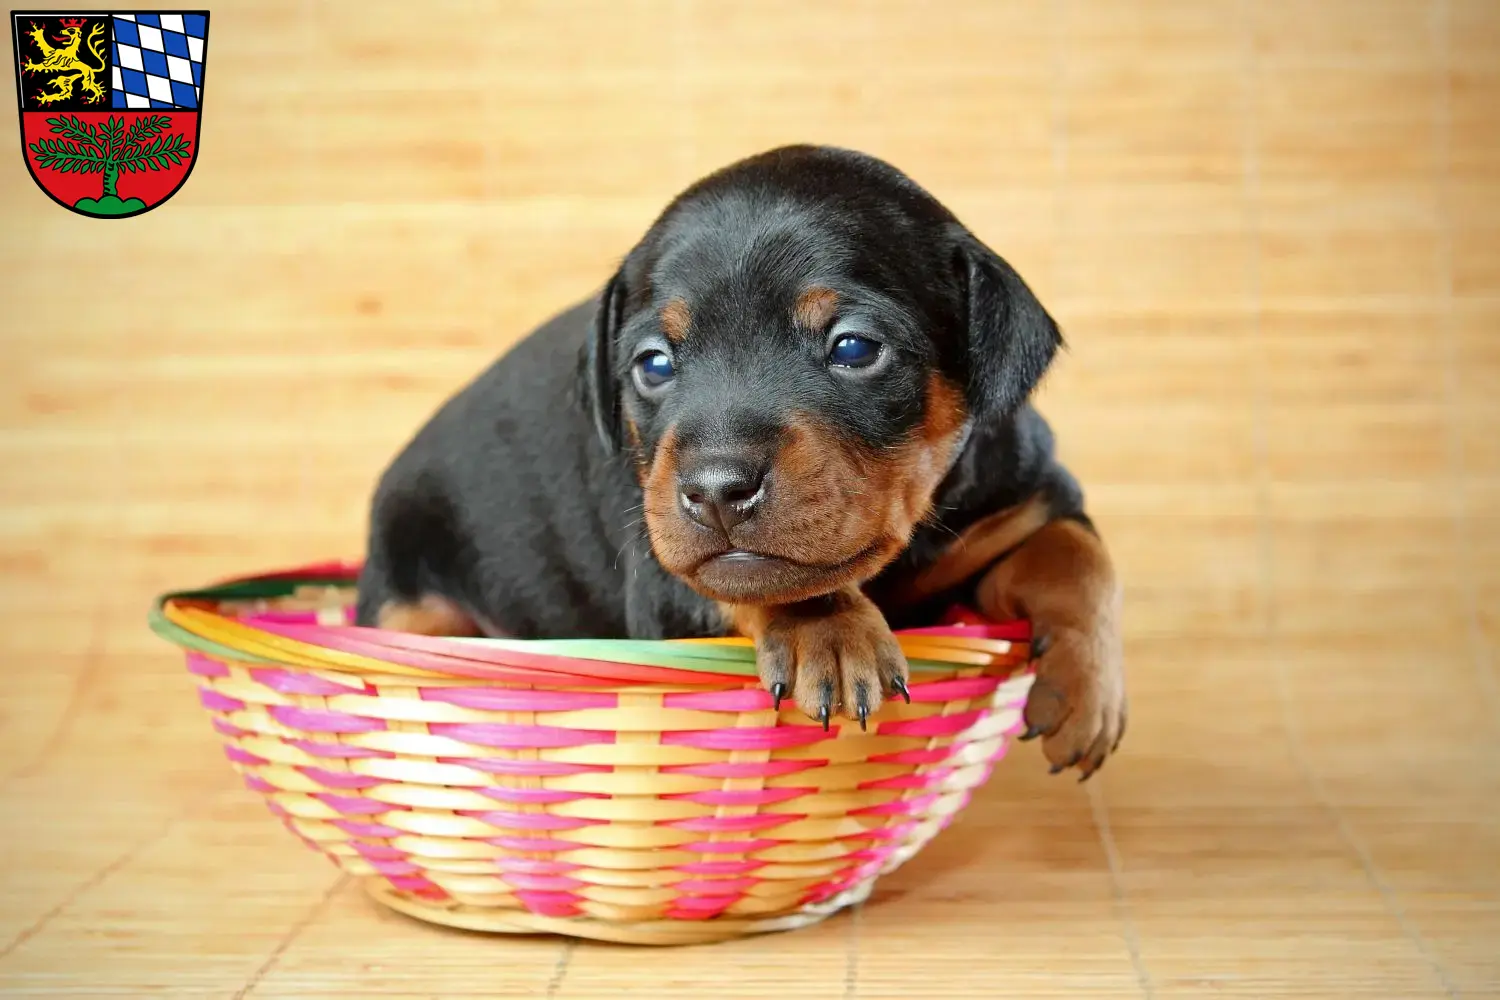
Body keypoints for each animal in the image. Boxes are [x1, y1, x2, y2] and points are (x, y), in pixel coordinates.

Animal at [351, 144, 1128, 779]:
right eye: (653, 364)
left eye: (854, 348)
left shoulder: (1027, 499)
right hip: (407, 594)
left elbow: (1078, 554)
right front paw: (830, 630)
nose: (717, 490)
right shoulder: (662, 569)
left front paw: (1087, 691)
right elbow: (774, 576)